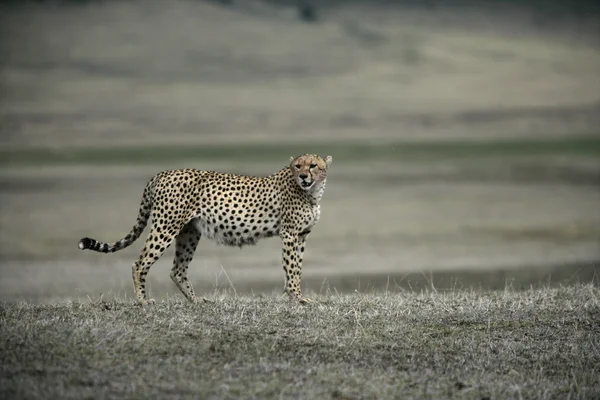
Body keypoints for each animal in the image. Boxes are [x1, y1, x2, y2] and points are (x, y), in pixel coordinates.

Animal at [78, 155, 332, 304]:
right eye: (297, 166)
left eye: (313, 165)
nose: (303, 176)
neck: (311, 192)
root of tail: (162, 173)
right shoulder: (289, 233)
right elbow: (292, 267)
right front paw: (297, 297)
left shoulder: (301, 235)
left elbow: (297, 266)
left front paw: (293, 295)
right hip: (166, 226)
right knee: (140, 263)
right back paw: (143, 301)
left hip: (189, 232)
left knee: (177, 269)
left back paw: (196, 301)